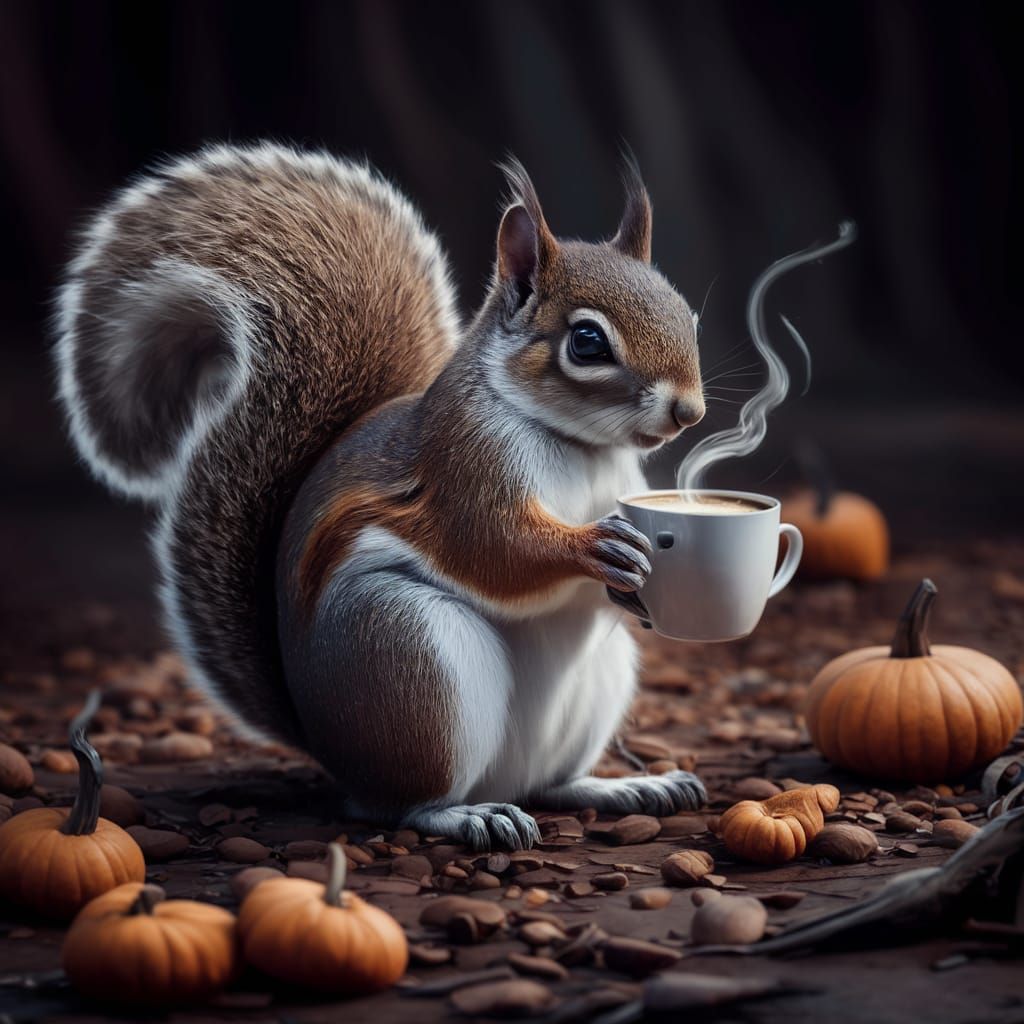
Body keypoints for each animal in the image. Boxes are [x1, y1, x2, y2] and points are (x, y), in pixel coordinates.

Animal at [54, 143, 707, 849]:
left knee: (550, 784)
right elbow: (493, 547)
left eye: (687, 315)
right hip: (408, 654)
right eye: (587, 342)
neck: (585, 447)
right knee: (404, 805)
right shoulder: (461, 466)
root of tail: (330, 750)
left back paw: (624, 787)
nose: (689, 412)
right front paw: (594, 547)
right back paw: (466, 814)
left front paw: (631, 586)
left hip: (590, 686)